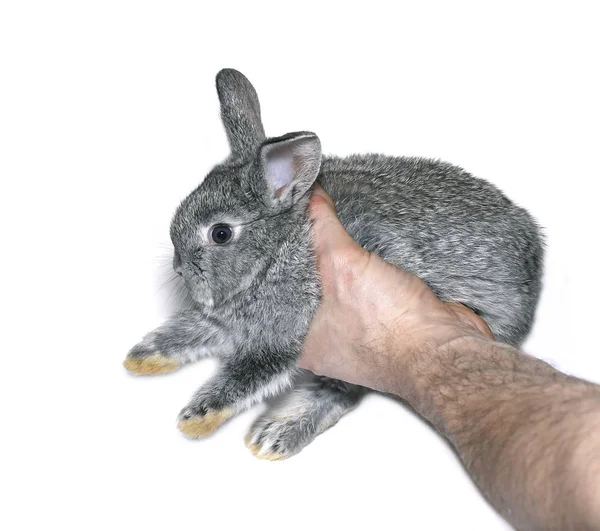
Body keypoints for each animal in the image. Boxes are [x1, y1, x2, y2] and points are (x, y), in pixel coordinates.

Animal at [123, 67, 544, 462]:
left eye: (221, 233)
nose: (179, 268)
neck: (274, 254)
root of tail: (535, 259)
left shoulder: (283, 330)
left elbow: (250, 373)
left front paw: (196, 418)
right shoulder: (224, 323)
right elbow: (188, 332)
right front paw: (142, 358)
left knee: (340, 391)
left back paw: (275, 434)